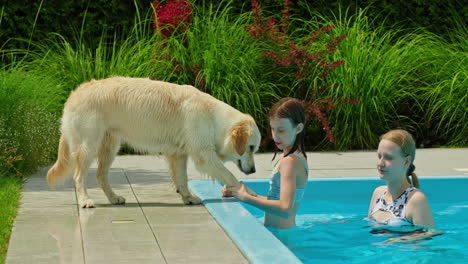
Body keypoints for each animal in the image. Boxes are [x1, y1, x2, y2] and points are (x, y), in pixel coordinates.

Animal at [47, 76, 262, 208]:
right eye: (251, 147)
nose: (254, 171)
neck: (212, 117)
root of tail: (75, 94)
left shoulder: (179, 154)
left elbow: (182, 179)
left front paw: (188, 197)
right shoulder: (204, 155)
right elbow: (230, 176)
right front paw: (250, 194)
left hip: (110, 145)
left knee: (101, 175)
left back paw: (114, 198)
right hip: (88, 145)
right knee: (78, 177)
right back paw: (85, 200)